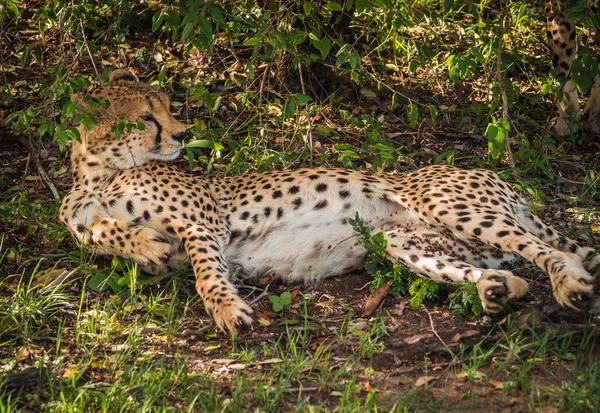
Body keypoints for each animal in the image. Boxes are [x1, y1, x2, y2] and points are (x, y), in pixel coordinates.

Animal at [61, 70, 600, 334]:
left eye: (167, 109)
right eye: (146, 117)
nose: (182, 134)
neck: (98, 173)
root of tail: (491, 174)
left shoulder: (204, 224)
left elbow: (206, 275)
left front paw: (228, 311)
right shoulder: (89, 218)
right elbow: (96, 232)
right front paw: (147, 246)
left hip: (449, 204)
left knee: (554, 250)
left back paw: (571, 286)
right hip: (405, 243)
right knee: (509, 271)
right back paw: (497, 289)